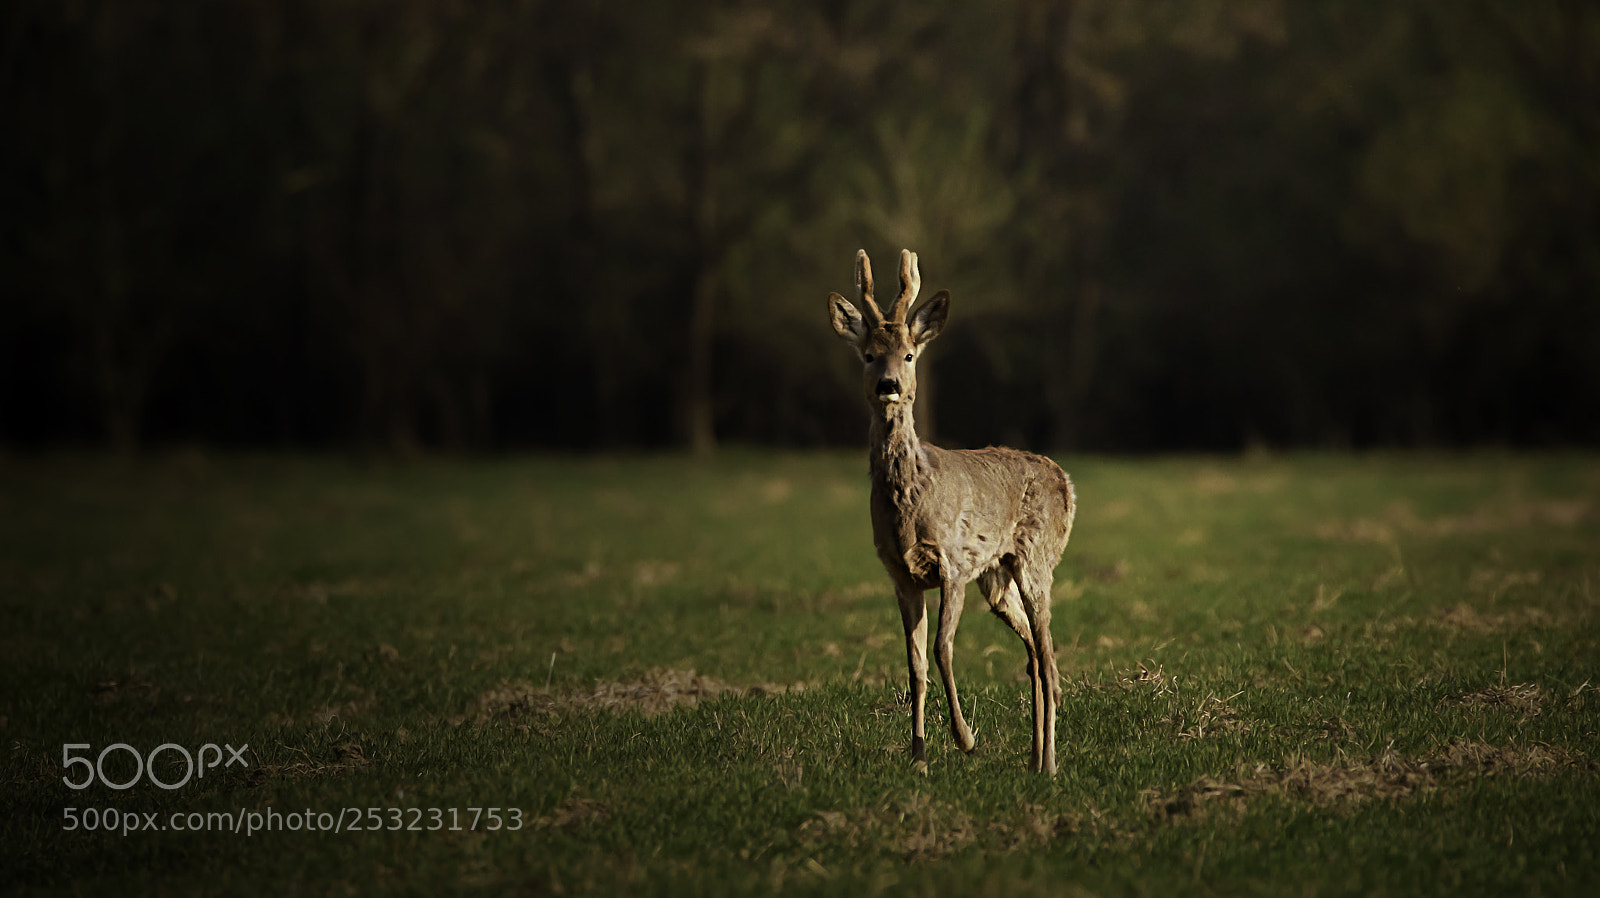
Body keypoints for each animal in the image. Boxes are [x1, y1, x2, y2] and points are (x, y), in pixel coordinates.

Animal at [828, 249, 1076, 774]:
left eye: (908, 354)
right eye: (868, 354)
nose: (888, 385)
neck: (910, 501)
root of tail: (1064, 479)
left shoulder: (954, 563)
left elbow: (943, 649)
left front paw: (965, 739)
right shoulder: (900, 574)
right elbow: (915, 664)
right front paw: (918, 757)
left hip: (1036, 559)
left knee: (1046, 652)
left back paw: (1050, 764)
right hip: (997, 575)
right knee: (1031, 653)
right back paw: (1033, 760)